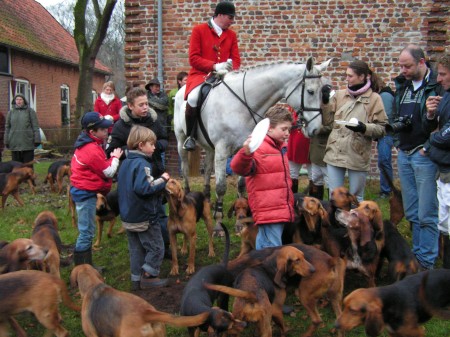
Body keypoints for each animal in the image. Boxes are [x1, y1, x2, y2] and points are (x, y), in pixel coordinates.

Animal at [174, 57, 332, 231]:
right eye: (310, 91)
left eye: (323, 94)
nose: (316, 129)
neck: (240, 106)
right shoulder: (222, 150)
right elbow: (221, 187)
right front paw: (219, 223)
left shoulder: (244, 149)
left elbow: (242, 185)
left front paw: (240, 216)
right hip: (181, 140)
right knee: (185, 168)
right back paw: (187, 197)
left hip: (209, 148)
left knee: (208, 170)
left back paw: (208, 201)